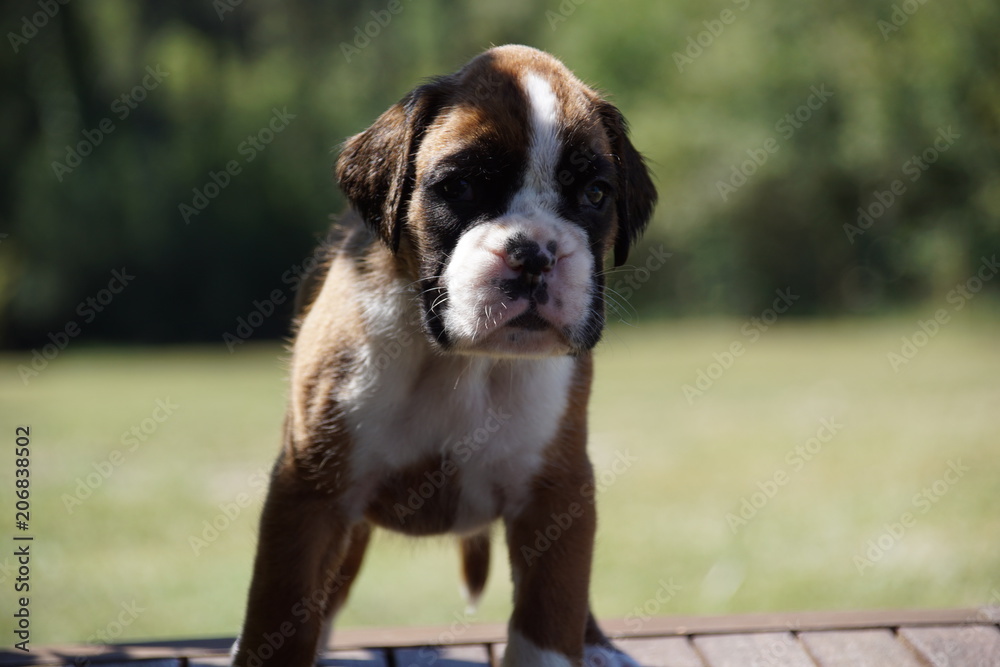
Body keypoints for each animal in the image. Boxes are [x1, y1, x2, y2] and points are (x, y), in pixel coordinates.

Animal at [232, 44, 656, 664]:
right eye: (458, 188)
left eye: (596, 194)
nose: (534, 253)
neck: (459, 360)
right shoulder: (308, 494)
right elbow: (280, 616)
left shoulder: (556, 497)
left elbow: (550, 618)